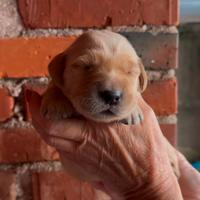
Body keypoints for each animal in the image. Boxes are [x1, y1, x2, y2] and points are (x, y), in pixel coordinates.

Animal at [40, 29, 180, 177]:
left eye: (129, 72)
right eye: (86, 66)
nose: (112, 96)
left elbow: (136, 94)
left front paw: (132, 112)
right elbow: (55, 84)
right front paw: (56, 104)